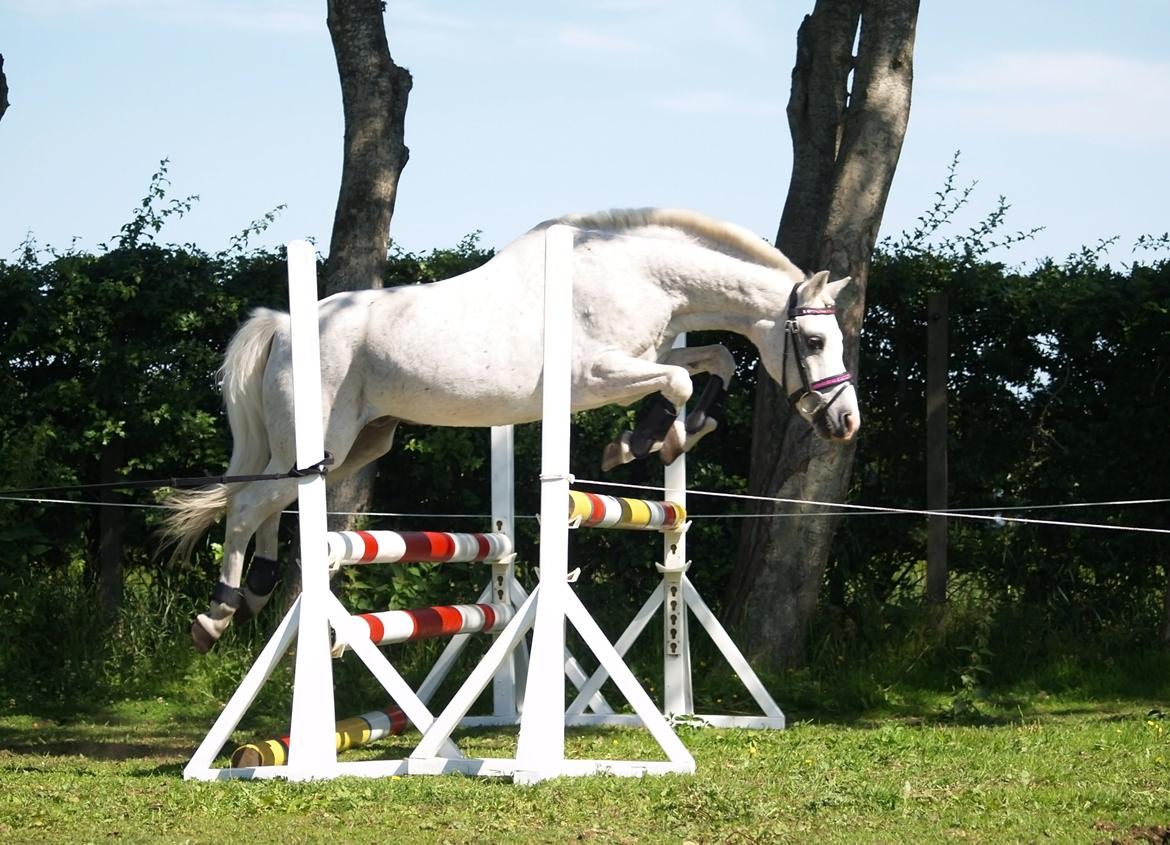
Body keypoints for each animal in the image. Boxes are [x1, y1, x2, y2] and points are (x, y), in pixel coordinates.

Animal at [164, 207, 861, 650]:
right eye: (816, 341)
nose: (846, 422)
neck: (641, 276)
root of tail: (285, 324)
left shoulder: (650, 355)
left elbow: (712, 363)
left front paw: (667, 435)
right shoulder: (597, 374)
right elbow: (681, 383)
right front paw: (645, 442)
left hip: (357, 443)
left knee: (269, 501)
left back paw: (256, 591)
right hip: (322, 440)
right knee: (250, 504)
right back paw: (218, 614)